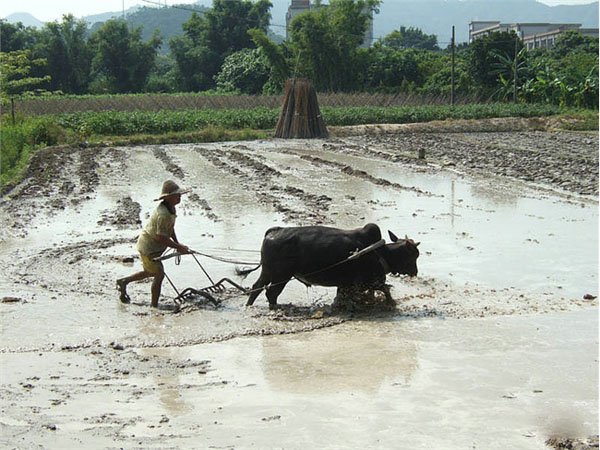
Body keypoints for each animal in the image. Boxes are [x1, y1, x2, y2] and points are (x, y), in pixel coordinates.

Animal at [237, 222, 420, 308]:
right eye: (413, 255)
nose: (415, 272)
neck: (380, 253)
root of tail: (275, 231)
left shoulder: (347, 284)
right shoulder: (368, 282)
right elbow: (386, 291)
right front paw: (392, 304)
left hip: (268, 272)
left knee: (257, 288)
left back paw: (249, 305)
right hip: (281, 276)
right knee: (271, 293)